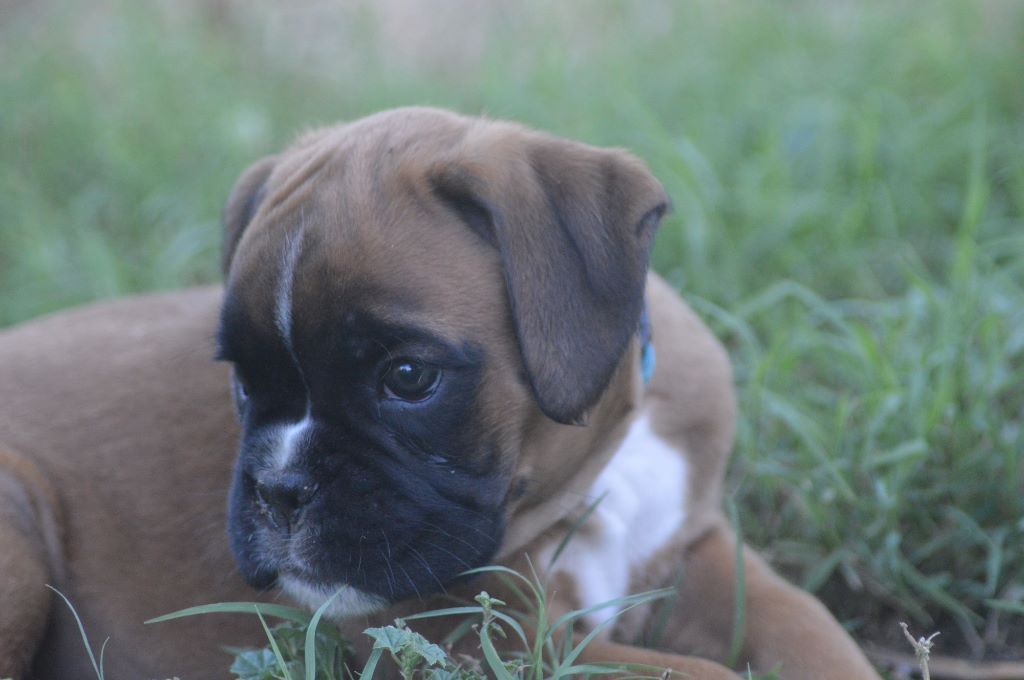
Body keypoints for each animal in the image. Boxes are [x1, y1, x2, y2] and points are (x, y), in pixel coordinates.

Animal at [0, 107, 880, 679]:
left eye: (407, 377)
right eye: (245, 382)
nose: (279, 490)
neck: (598, 480)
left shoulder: (699, 550)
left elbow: (809, 627)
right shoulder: (463, 635)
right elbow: (699, 673)